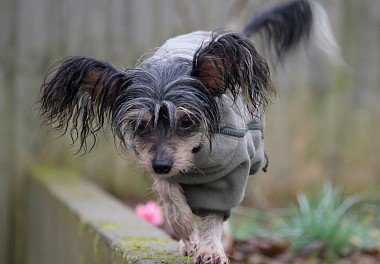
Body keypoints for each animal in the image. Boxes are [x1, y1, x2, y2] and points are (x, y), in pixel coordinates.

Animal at [38, 1, 338, 262]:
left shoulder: (231, 172)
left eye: (186, 121)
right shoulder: (158, 167)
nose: (161, 164)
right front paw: (187, 233)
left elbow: (215, 214)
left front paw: (211, 249)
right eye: (140, 125)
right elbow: (171, 198)